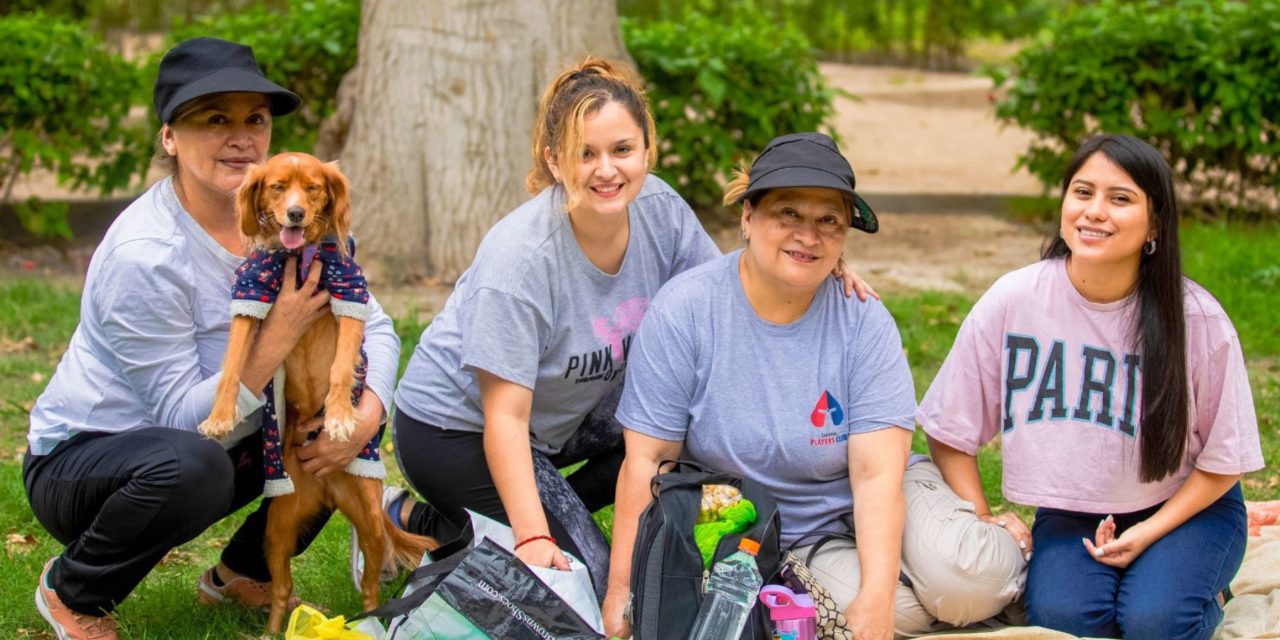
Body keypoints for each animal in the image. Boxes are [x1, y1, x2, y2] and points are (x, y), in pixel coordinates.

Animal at [199, 152, 437, 632]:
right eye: (276, 186)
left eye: (312, 188)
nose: (294, 213)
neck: (299, 255)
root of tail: (327, 487)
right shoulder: (251, 296)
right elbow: (232, 366)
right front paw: (219, 416)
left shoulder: (349, 293)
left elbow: (344, 366)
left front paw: (341, 416)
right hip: (278, 527)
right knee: (281, 589)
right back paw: (274, 632)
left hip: (368, 521)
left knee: (370, 588)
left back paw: (368, 624)